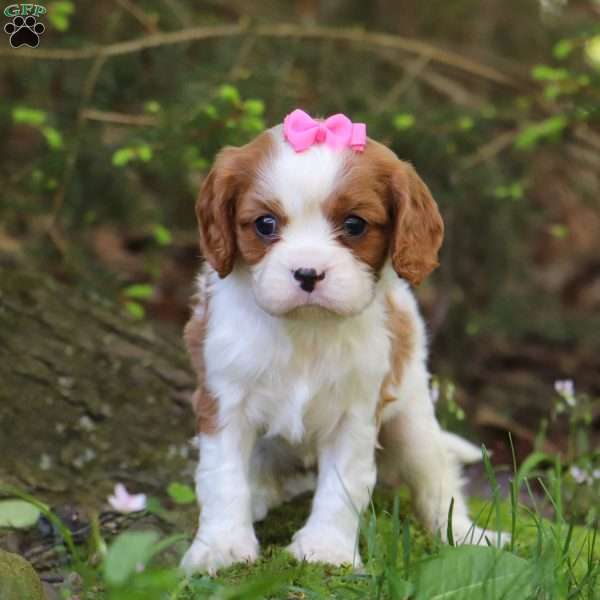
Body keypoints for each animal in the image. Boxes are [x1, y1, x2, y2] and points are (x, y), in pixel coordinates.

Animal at [179, 110, 506, 576]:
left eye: (354, 225)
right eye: (265, 224)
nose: (308, 273)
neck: (306, 330)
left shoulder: (357, 410)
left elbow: (343, 484)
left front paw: (325, 551)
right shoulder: (223, 401)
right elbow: (223, 478)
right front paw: (222, 548)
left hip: (413, 418)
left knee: (437, 481)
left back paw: (467, 536)